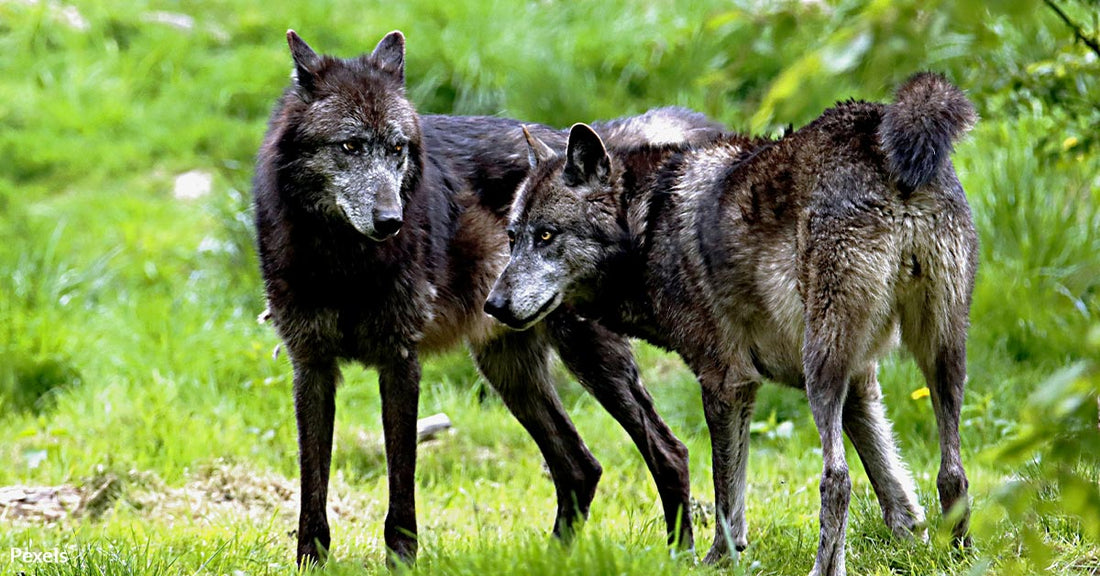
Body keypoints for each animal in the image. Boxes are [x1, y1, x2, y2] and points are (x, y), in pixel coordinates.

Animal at [253, 30, 725, 566]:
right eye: (350, 145)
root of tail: (587, 150)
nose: (391, 220)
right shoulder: (311, 366)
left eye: (396, 148)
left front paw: (402, 562)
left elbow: (401, 482)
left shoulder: (400, 361)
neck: (341, 263)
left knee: (669, 453)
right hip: (508, 368)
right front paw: (310, 563)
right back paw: (553, 560)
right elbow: (312, 483)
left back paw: (679, 557)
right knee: (581, 466)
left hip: (585, 356)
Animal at [486, 73, 978, 576]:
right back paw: (960, 555)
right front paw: (912, 546)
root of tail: (872, 131)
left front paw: (717, 560)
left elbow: (728, 497)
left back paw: (823, 570)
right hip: (942, 355)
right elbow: (894, 488)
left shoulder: (727, 382)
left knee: (837, 479)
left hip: (822, 371)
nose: (493, 305)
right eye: (512, 238)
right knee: (952, 471)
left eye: (547, 235)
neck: (646, 226)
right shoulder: (859, 382)